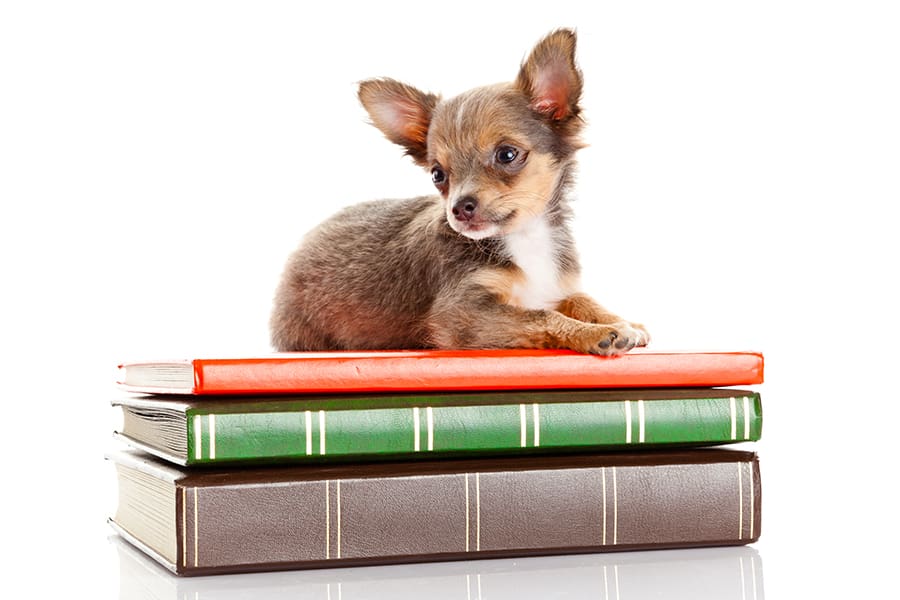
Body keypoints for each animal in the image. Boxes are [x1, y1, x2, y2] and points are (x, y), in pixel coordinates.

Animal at [270, 28, 652, 354]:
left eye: (507, 155)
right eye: (438, 174)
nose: (459, 207)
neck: (525, 237)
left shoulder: (555, 286)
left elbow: (581, 299)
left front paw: (621, 321)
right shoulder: (463, 313)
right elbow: (542, 315)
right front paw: (597, 332)